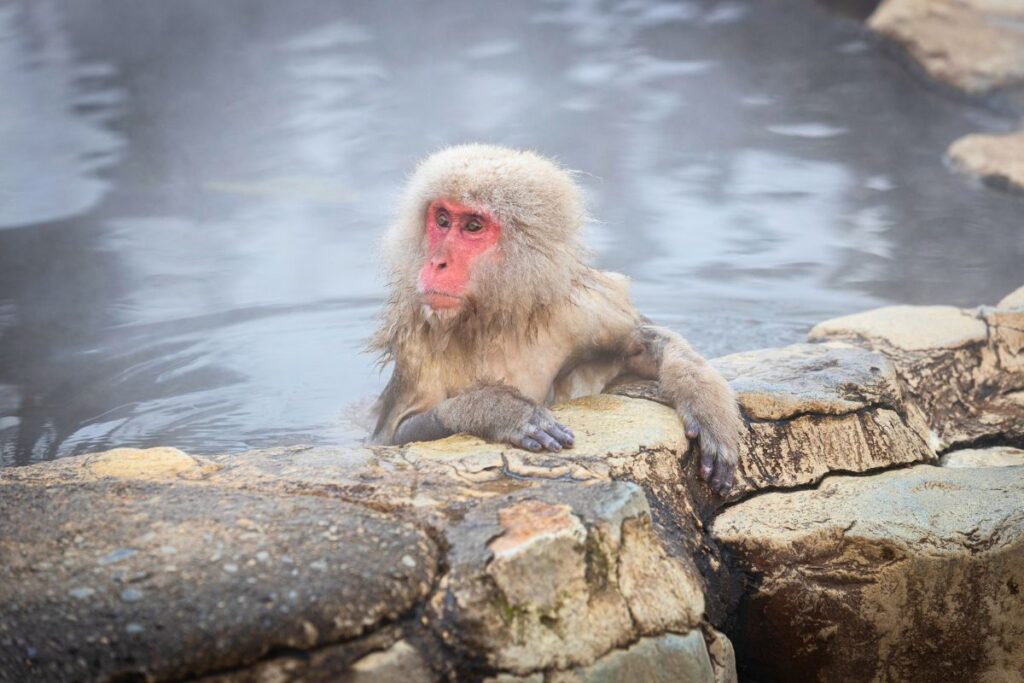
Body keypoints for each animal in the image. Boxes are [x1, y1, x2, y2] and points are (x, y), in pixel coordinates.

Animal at [369, 144, 743, 494]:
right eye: (443, 220)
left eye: (473, 226)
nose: (437, 263)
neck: (500, 317)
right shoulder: (419, 343)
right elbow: (394, 436)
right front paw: (496, 409)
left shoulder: (581, 309)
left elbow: (640, 342)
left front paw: (705, 403)